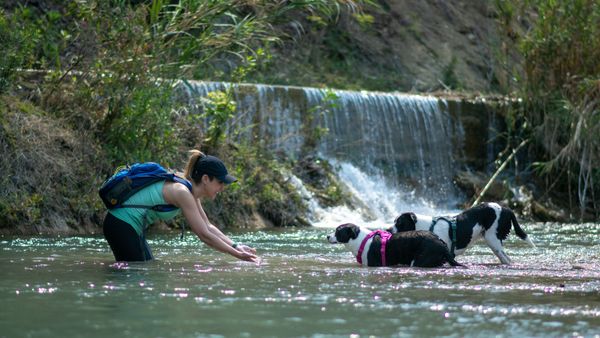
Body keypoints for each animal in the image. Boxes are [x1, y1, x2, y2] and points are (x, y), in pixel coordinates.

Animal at [392, 201, 536, 264]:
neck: (428, 227)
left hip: (492, 239)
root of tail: (507, 209)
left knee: (506, 259)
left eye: (399, 223)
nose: (388, 230)